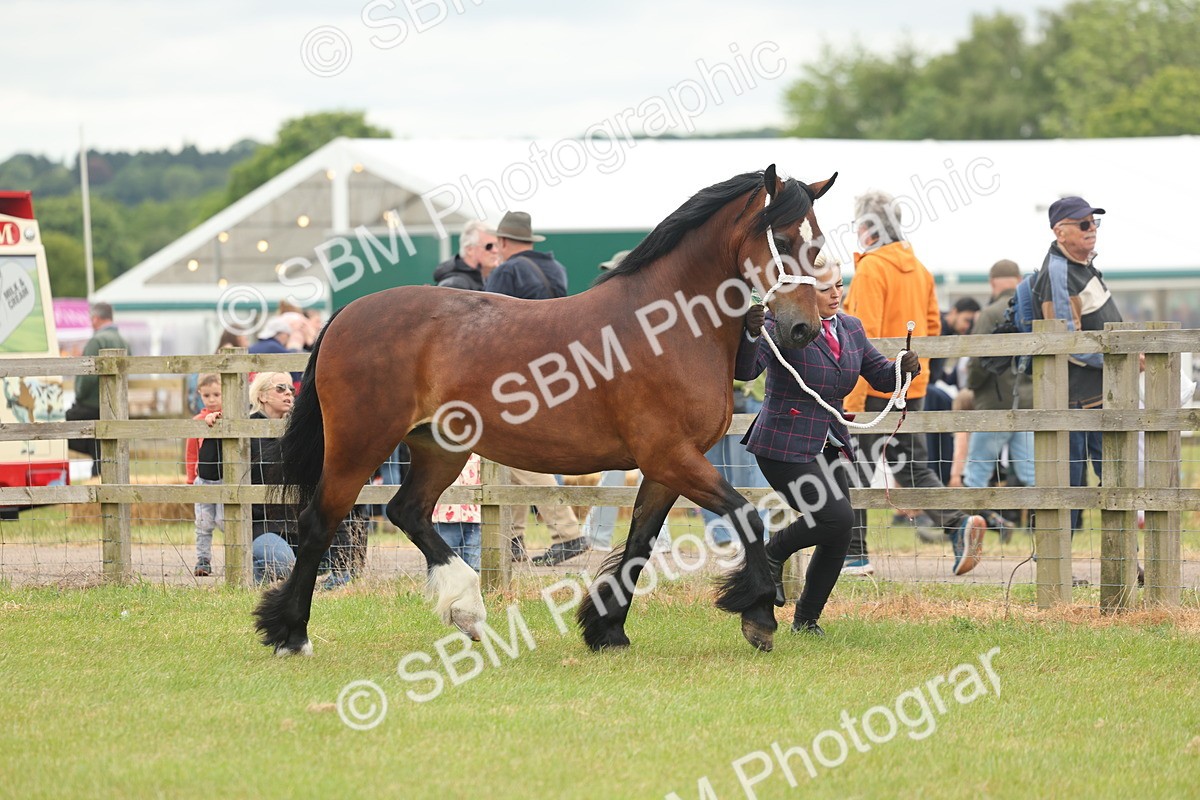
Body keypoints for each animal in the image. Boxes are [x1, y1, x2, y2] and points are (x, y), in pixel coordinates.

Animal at [253, 165, 838, 656]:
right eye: (785, 241)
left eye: (817, 245)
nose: (802, 329)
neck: (665, 325)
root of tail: (346, 314)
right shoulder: (672, 457)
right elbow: (746, 515)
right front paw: (758, 614)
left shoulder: (665, 467)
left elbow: (640, 542)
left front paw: (607, 630)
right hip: (359, 445)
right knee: (318, 522)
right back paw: (292, 635)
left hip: (439, 447)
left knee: (406, 511)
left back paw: (466, 609)